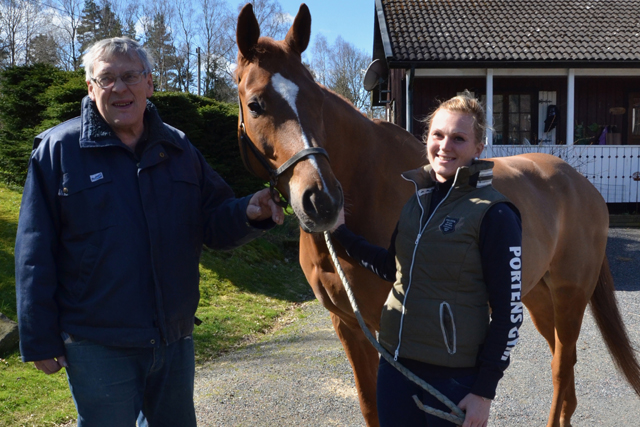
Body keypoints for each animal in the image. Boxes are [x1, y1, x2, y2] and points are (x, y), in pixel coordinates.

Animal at [235, 4, 640, 427]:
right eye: (256, 104)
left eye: (317, 103)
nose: (324, 201)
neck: (368, 184)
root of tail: (582, 185)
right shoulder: (349, 326)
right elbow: (369, 405)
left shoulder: (383, 329)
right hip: (535, 294)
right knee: (565, 363)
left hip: (569, 294)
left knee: (562, 367)